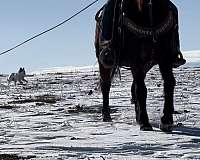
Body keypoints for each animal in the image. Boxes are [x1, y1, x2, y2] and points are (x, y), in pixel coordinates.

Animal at [95, 0, 177, 132]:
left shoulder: (165, 57)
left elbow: (169, 83)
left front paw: (166, 121)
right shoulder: (136, 60)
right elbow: (141, 89)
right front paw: (145, 122)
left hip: (147, 65)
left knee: (133, 86)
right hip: (103, 61)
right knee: (105, 86)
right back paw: (106, 115)